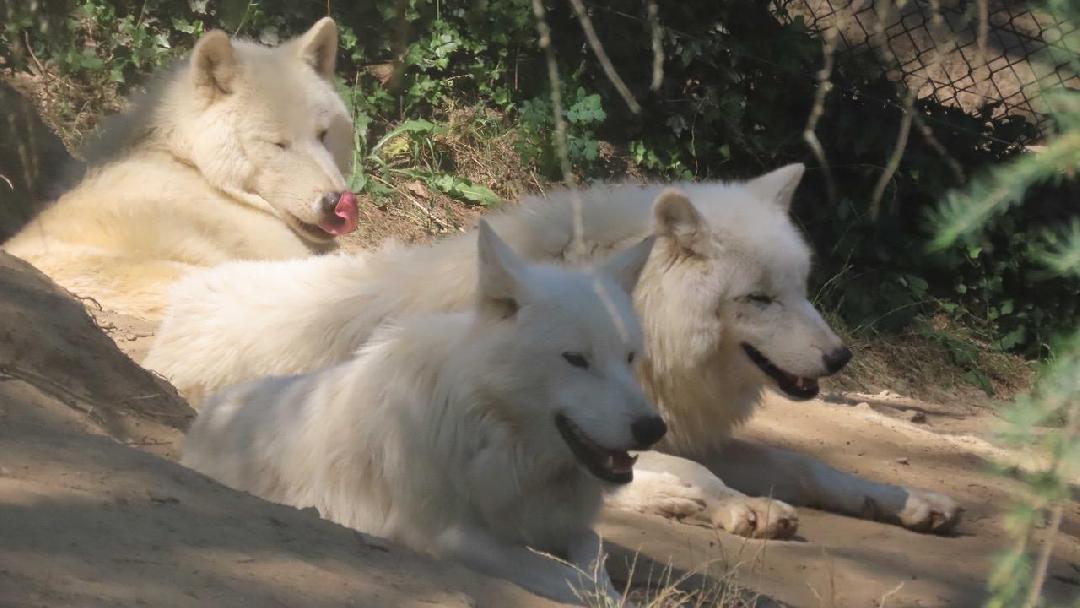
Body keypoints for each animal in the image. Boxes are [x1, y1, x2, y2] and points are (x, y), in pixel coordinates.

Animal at [145, 165, 963, 537]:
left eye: (800, 287)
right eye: (758, 299)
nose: (839, 359)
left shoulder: (675, 427)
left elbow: (808, 465)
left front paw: (909, 501)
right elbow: (689, 472)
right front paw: (738, 507)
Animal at [181, 222, 660, 604]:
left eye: (629, 357)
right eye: (576, 359)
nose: (654, 428)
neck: (497, 437)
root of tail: (209, 412)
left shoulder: (560, 522)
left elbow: (592, 550)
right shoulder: (447, 536)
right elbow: (564, 576)